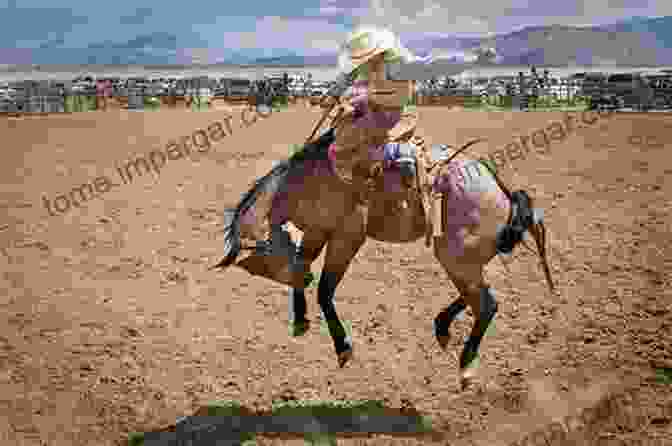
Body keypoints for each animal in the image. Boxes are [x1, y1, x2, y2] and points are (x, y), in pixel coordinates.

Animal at [213, 127, 552, 388]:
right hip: (460, 257)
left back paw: (466, 366)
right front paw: (300, 320)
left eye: (262, 262)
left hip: (455, 256)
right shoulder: (316, 231)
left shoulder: (347, 236)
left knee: (486, 303)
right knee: (477, 295)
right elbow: (302, 264)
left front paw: (342, 347)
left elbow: (324, 289)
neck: (305, 180)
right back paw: (442, 326)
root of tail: (503, 192)